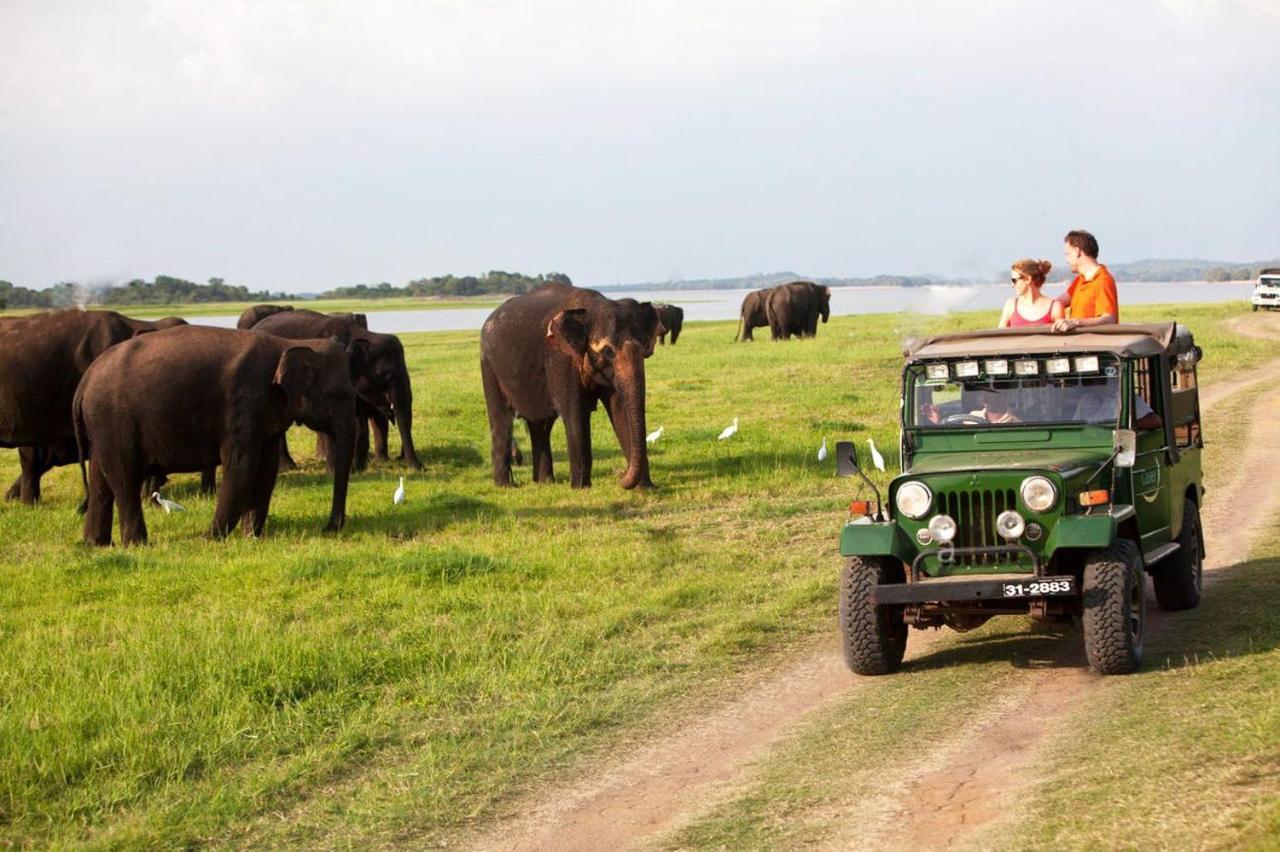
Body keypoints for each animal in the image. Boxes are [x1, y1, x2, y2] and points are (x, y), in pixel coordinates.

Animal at [73, 324, 360, 544]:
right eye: (340, 395)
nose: (329, 528)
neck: (289, 343)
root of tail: (85, 380)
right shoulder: (243, 401)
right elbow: (242, 465)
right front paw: (211, 538)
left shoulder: (264, 413)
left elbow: (266, 469)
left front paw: (250, 537)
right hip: (113, 420)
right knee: (124, 478)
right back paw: (136, 543)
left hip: (102, 426)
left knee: (100, 480)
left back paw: (96, 544)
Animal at [252, 307, 422, 468]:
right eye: (383, 373)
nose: (421, 468)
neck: (364, 335)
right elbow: (356, 420)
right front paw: (356, 468)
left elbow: (373, 416)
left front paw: (379, 463)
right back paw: (287, 466)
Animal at [478, 281, 660, 488]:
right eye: (608, 351)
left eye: (645, 348)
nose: (620, 476)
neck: (591, 308)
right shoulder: (560, 357)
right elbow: (575, 412)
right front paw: (581, 488)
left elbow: (620, 410)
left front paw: (646, 489)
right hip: (489, 366)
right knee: (501, 420)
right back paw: (506, 486)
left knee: (540, 424)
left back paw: (545, 483)